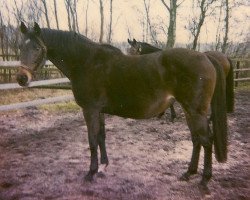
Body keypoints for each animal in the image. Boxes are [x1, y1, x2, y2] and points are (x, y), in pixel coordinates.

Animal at [17, 22, 229, 192]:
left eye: (37, 47)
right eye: (20, 47)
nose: (21, 78)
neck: (86, 62)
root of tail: (206, 57)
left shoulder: (90, 110)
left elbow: (92, 140)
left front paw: (91, 173)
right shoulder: (99, 111)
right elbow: (101, 137)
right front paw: (103, 166)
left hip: (196, 111)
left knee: (206, 140)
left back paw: (204, 181)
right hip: (189, 110)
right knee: (196, 140)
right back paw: (188, 173)